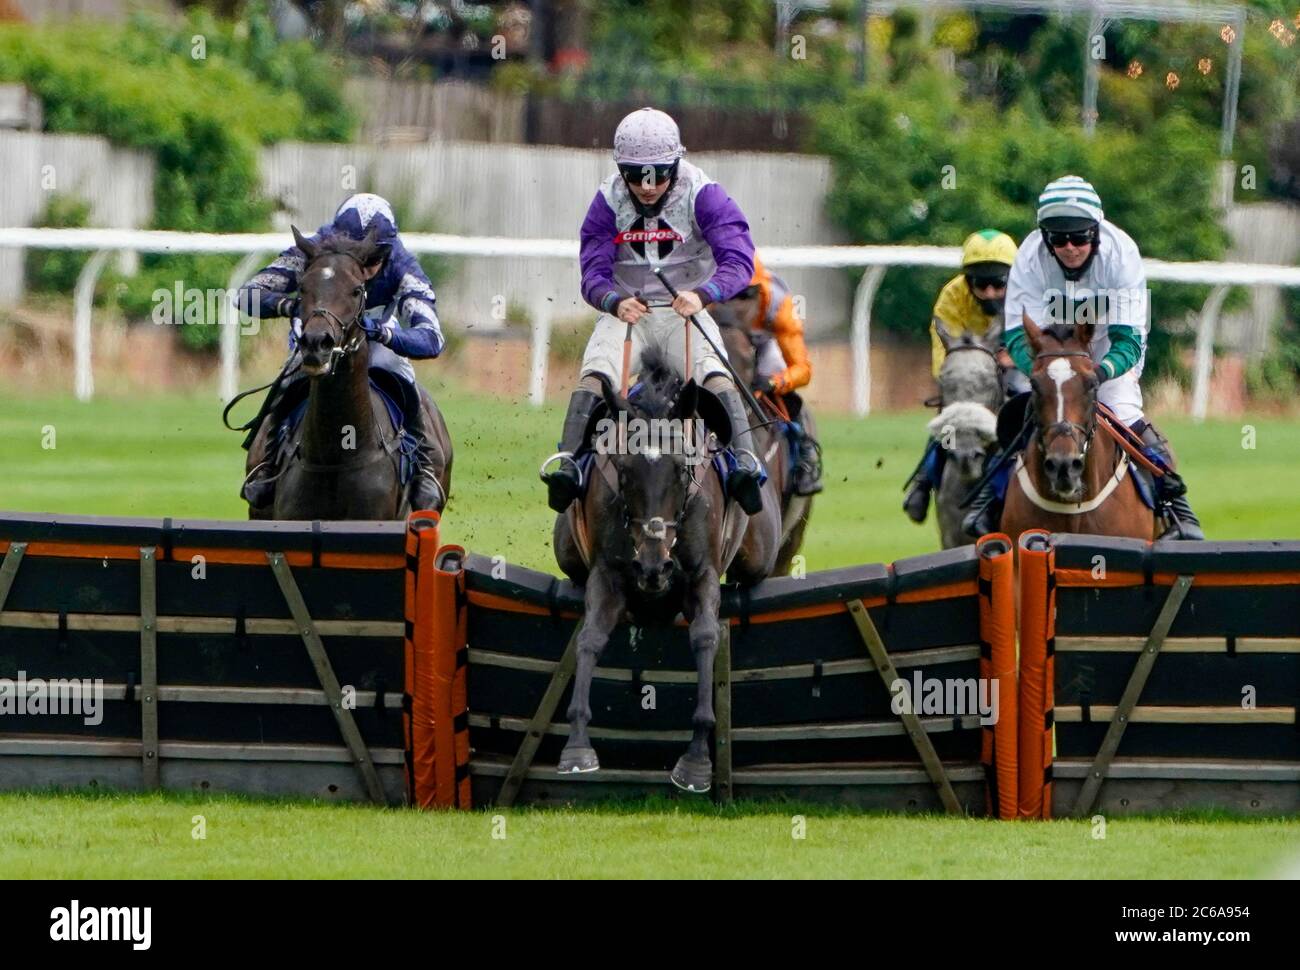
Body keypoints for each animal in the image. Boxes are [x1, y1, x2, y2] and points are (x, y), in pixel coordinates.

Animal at [551, 351, 774, 790]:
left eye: (681, 470)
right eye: (623, 471)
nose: (653, 567)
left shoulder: (703, 573)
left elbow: (705, 637)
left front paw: (697, 759)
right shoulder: (607, 573)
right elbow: (590, 638)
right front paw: (577, 747)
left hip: (758, 552)